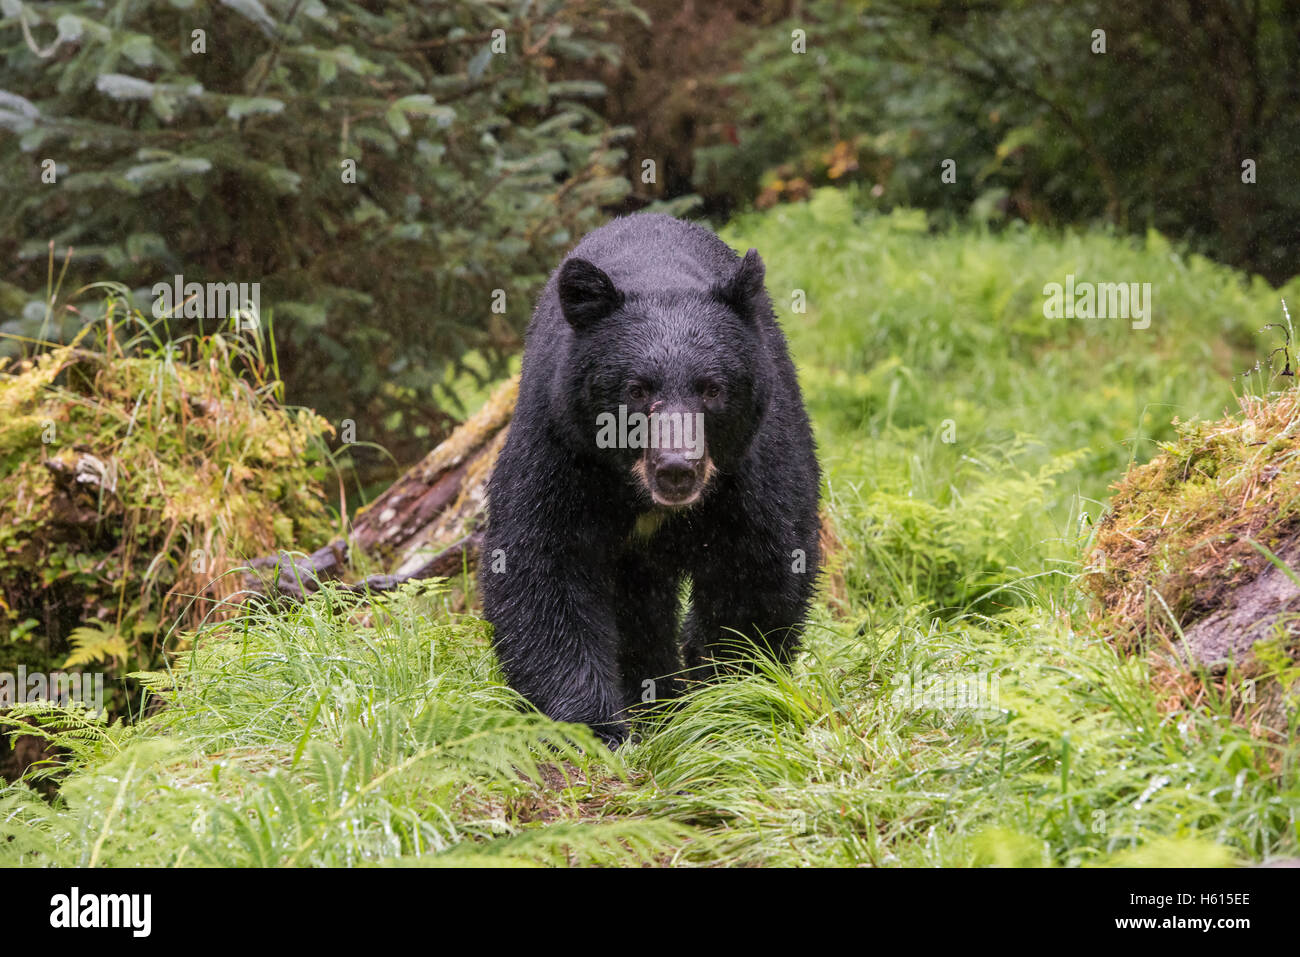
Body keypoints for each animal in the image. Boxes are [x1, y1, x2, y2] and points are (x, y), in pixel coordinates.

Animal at [478, 213, 821, 743]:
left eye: (712, 389)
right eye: (637, 389)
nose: (676, 468)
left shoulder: (751, 462)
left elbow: (759, 564)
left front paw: (725, 700)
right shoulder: (561, 444)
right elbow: (542, 565)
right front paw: (595, 726)